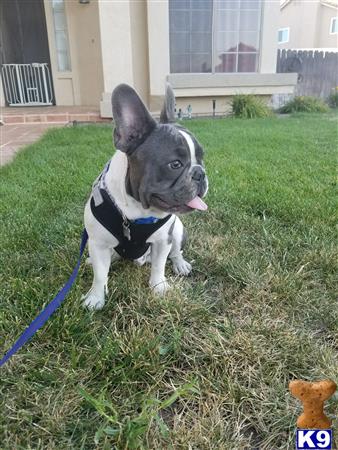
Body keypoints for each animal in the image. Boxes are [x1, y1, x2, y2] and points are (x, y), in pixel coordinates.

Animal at [83, 83, 207, 310]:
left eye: (202, 159)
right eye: (175, 164)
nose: (200, 173)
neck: (136, 211)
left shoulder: (163, 240)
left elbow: (159, 266)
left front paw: (158, 287)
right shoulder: (97, 243)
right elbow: (100, 274)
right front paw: (95, 297)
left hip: (177, 231)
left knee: (176, 252)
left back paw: (181, 264)